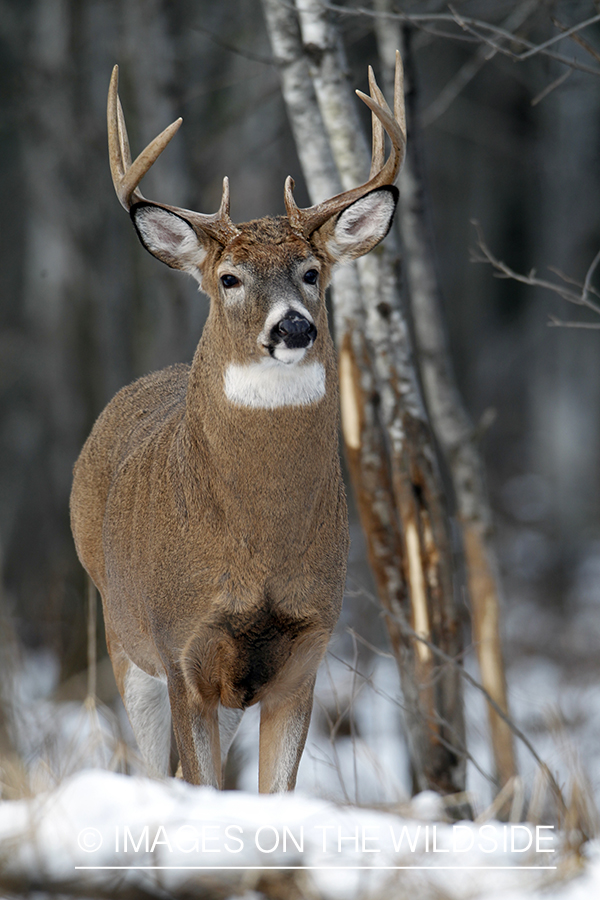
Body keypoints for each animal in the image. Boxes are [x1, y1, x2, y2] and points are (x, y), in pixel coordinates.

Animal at [70, 54, 408, 788]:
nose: (294, 326)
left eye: (311, 271)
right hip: (122, 635)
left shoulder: (304, 655)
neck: (258, 541)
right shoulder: (180, 650)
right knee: (151, 767)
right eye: (228, 277)